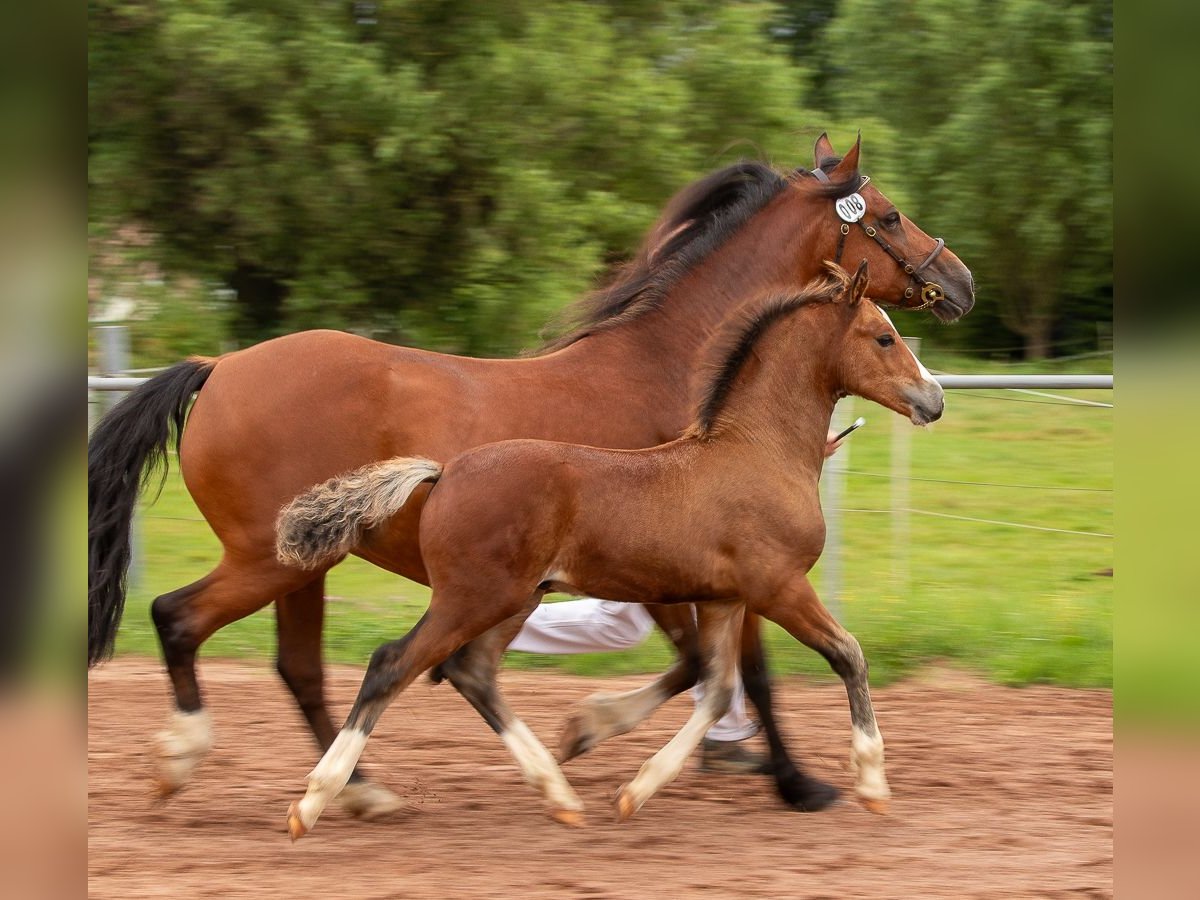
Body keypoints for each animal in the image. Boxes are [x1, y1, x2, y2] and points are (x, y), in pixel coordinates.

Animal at [276, 264, 940, 844]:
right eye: (884, 336)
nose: (933, 400)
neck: (758, 451)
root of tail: (444, 472)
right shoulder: (777, 587)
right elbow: (846, 655)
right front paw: (872, 782)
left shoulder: (723, 599)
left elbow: (718, 688)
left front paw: (634, 789)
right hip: (474, 597)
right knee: (393, 664)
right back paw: (314, 802)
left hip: (517, 599)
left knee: (472, 671)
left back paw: (559, 793)